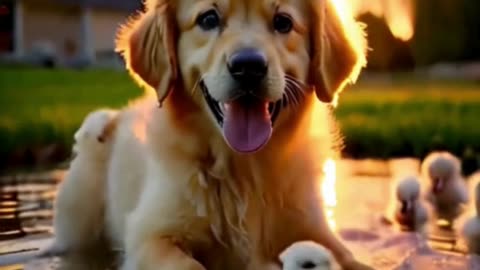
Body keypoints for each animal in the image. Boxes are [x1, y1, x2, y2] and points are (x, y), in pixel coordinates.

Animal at [48, 0, 372, 268]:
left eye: (283, 22)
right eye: (208, 19)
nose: (248, 66)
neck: (244, 170)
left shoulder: (315, 228)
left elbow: (351, 260)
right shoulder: (150, 236)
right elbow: (186, 264)